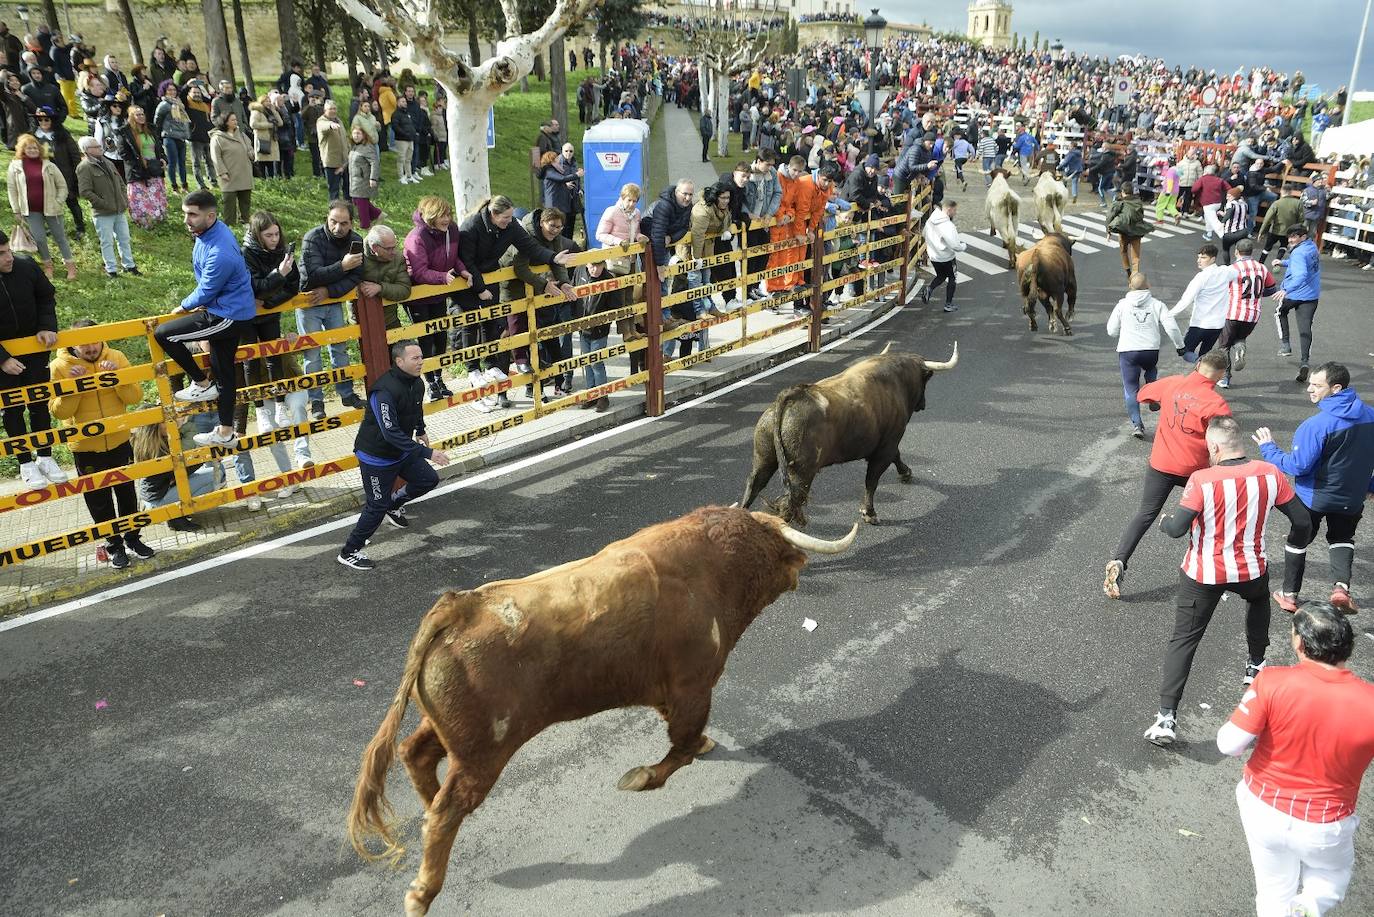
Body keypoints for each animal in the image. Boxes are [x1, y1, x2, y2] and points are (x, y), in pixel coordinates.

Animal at [348, 505, 851, 912]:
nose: (799, 570)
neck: (715, 569)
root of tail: (460, 606)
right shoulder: (692, 688)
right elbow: (681, 749)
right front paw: (641, 777)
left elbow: (688, 741)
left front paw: (703, 746)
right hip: (482, 754)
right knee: (445, 810)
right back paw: (421, 893)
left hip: (453, 733)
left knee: (416, 755)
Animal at [741, 343, 956, 527]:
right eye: (925, 380)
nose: (923, 404)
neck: (896, 381)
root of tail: (792, 395)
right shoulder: (887, 446)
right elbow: (872, 480)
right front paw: (869, 513)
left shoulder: (886, 444)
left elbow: (896, 457)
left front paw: (906, 473)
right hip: (802, 473)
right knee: (789, 505)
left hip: (764, 459)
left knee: (754, 485)